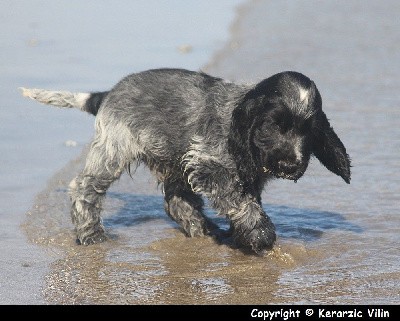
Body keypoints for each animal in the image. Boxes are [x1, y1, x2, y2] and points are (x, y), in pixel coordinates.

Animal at [20, 69, 350, 254]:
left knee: (175, 202)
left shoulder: (241, 175)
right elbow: (241, 202)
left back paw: (203, 229)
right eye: (273, 125)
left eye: (308, 130)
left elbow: (246, 200)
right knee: (84, 188)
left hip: (173, 160)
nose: (291, 166)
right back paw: (91, 235)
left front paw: (243, 236)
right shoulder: (209, 165)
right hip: (113, 150)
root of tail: (107, 94)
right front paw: (260, 234)